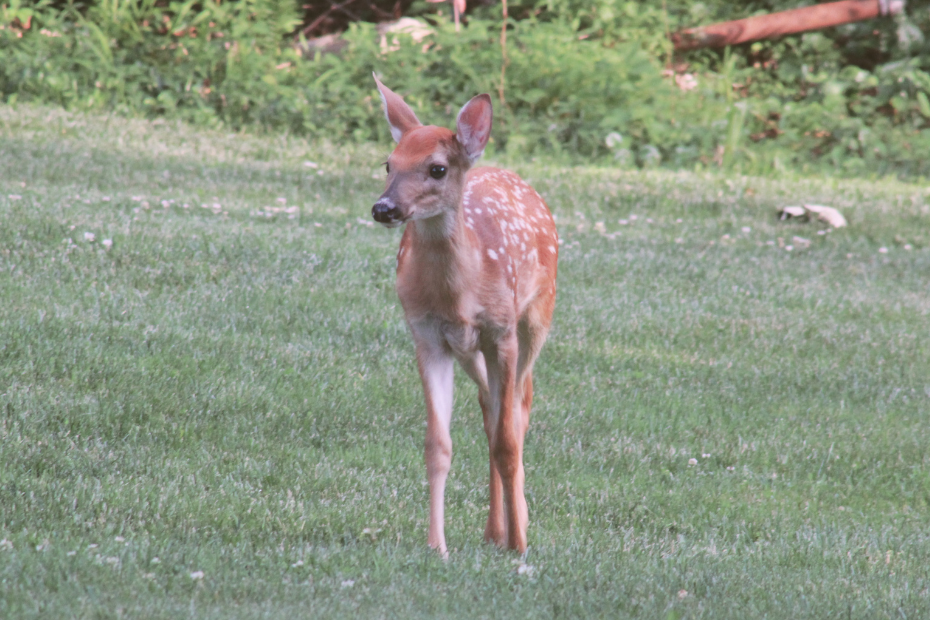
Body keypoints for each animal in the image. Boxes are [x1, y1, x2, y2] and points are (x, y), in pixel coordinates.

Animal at [370, 75, 558, 556]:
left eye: (437, 168)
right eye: (388, 164)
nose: (384, 208)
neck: (458, 295)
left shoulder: (501, 331)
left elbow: (509, 441)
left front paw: (520, 545)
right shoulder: (427, 336)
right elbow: (438, 445)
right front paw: (437, 546)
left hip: (537, 316)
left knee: (519, 408)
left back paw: (515, 527)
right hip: (470, 350)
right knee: (491, 408)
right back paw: (494, 530)